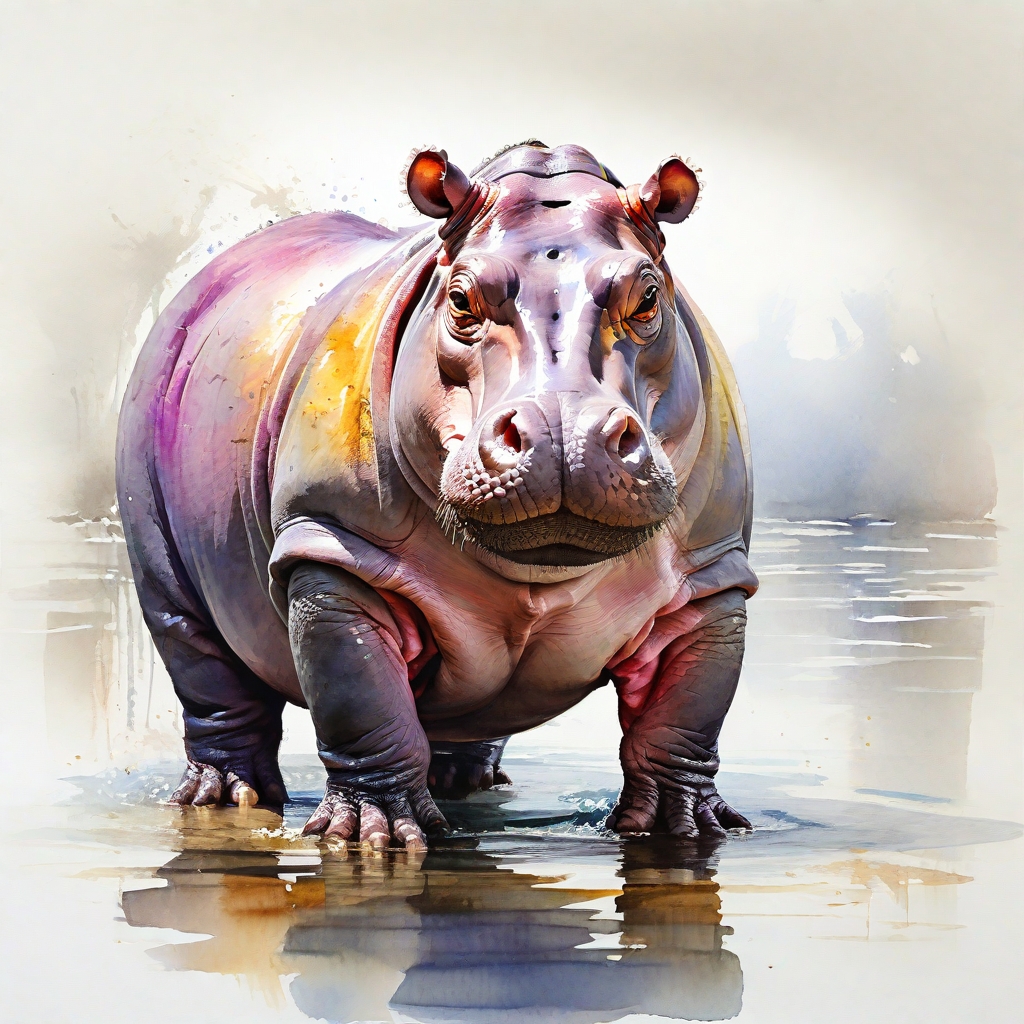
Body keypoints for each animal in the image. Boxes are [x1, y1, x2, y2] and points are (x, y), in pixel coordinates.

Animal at [116, 141, 757, 848]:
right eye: (459, 300)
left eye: (647, 298)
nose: (564, 432)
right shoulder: (335, 543)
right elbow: (360, 699)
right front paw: (375, 837)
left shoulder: (710, 577)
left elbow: (685, 715)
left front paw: (687, 831)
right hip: (156, 489)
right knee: (198, 655)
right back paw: (226, 799)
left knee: (469, 713)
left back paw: (464, 784)